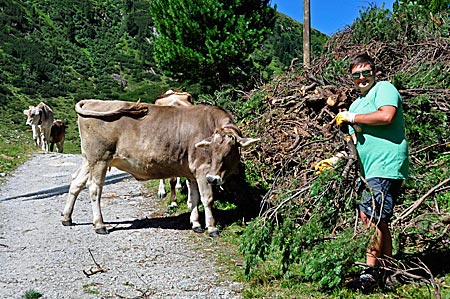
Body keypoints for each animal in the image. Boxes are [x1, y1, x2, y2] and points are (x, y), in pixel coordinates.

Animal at [63, 100, 260, 237]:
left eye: (229, 152)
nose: (214, 179)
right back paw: (99, 225)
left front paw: (196, 224)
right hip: (100, 158)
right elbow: (207, 199)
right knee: (94, 188)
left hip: (89, 159)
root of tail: (92, 101)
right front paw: (212, 227)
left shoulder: (193, 172)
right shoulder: (202, 170)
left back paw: (67, 218)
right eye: (210, 150)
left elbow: (194, 199)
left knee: (76, 182)